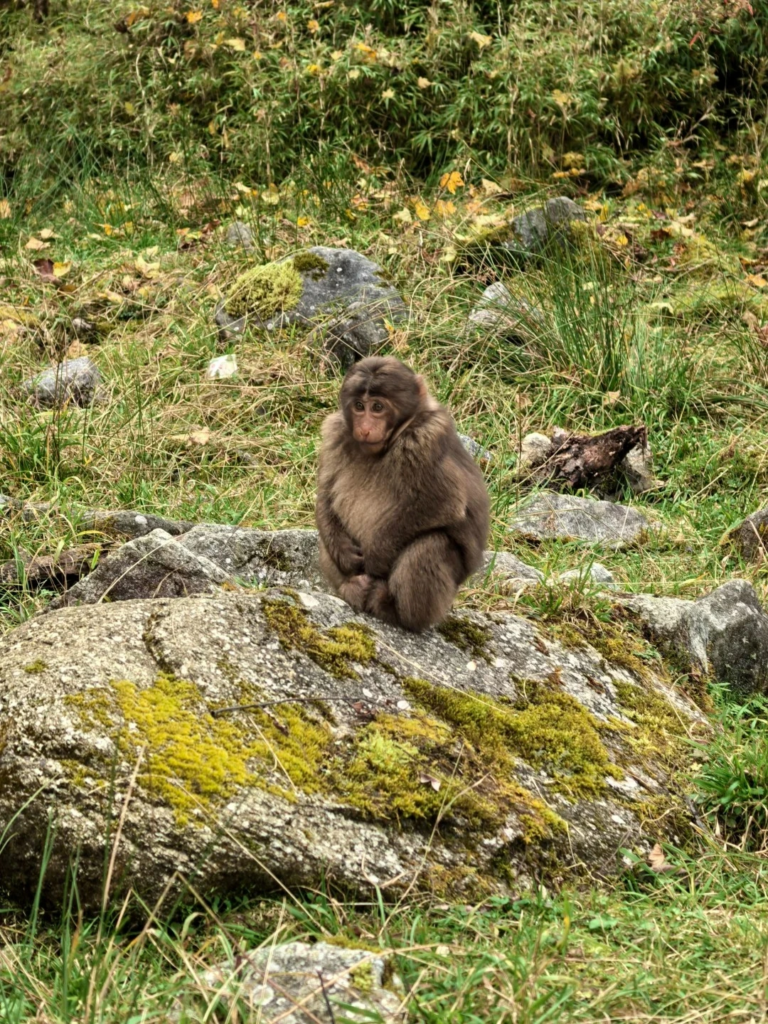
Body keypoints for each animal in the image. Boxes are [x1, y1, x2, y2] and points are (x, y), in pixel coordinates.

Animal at [315, 356, 490, 632]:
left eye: (377, 407)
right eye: (359, 406)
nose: (365, 427)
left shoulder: (422, 438)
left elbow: (442, 503)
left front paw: (376, 556)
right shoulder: (335, 432)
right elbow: (325, 496)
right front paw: (345, 555)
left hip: (443, 596)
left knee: (432, 544)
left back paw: (395, 611)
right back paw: (351, 587)